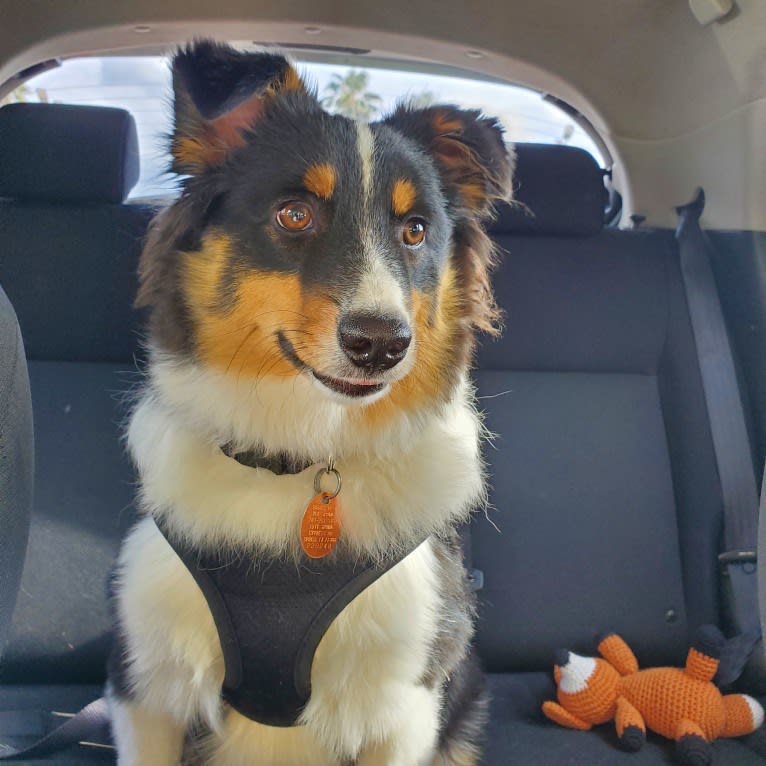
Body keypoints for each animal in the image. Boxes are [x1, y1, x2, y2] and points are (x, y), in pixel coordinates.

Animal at [108, 39, 512, 764]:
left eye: (415, 231)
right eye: (294, 213)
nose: (382, 344)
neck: (302, 452)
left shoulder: (407, 698)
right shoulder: (146, 684)